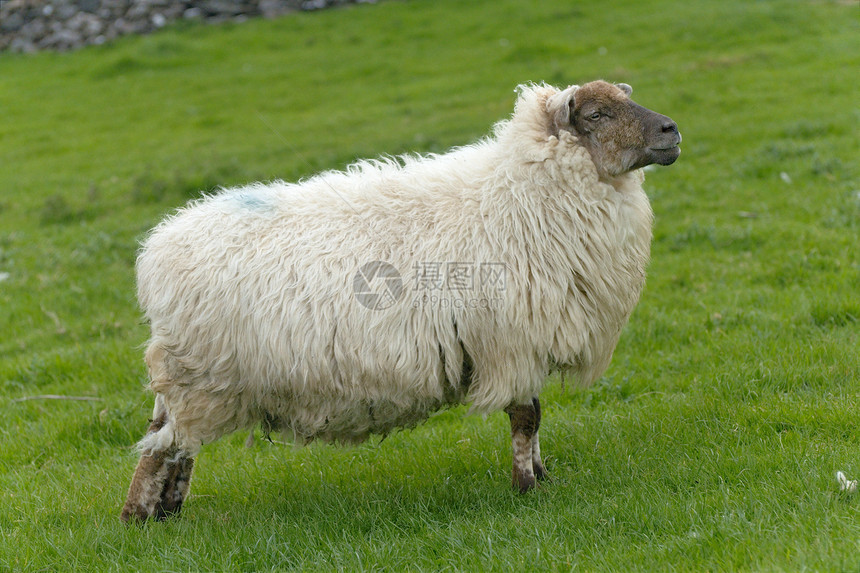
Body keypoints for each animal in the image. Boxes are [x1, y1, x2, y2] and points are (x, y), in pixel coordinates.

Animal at [122, 80, 684, 524]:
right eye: (596, 114)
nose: (671, 131)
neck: (520, 194)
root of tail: (157, 250)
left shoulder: (522, 343)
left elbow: (536, 416)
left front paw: (543, 477)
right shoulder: (511, 341)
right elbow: (526, 419)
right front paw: (527, 488)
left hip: (190, 374)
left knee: (168, 439)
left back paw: (164, 511)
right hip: (201, 375)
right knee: (167, 445)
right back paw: (140, 518)